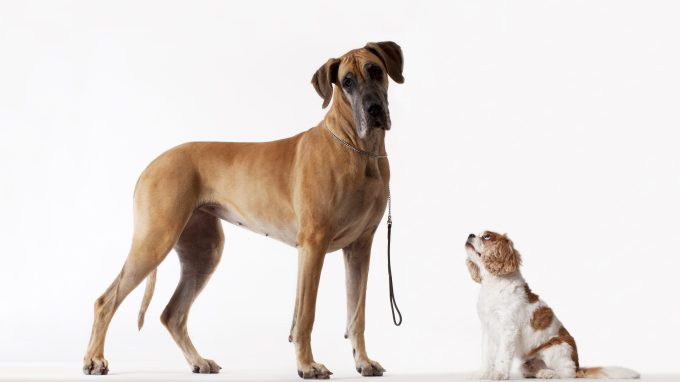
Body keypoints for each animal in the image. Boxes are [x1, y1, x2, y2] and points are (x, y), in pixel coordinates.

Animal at [83, 41, 404, 380]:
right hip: (154, 241)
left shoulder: (360, 247)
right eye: (347, 82)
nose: (373, 110)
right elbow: (305, 315)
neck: (358, 148)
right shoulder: (313, 246)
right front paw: (307, 365)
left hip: (204, 251)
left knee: (173, 314)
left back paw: (198, 361)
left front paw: (363, 361)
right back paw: (95, 359)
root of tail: (152, 164)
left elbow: (357, 313)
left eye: (375, 70)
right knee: (105, 301)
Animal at [464, 230, 640, 380]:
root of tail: (578, 366)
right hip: (526, 366)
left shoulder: (508, 329)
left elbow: (502, 356)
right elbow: (486, 355)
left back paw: (550, 374)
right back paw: (542, 372)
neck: (493, 283)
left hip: (555, 348)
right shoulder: (487, 328)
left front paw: (499, 375)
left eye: (487, 236)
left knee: (568, 372)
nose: (470, 234)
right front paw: (483, 373)